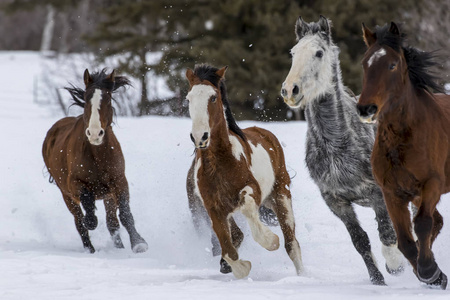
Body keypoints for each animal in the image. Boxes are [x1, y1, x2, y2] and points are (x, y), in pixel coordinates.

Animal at [42, 69, 148, 253]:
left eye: (108, 99)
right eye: (87, 99)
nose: (94, 133)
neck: (98, 155)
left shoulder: (119, 181)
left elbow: (125, 214)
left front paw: (138, 243)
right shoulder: (74, 184)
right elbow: (87, 207)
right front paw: (91, 220)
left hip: (108, 195)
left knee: (112, 223)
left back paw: (119, 248)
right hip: (66, 195)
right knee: (79, 222)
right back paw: (89, 249)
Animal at [185, 63, 304, 278]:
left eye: (213, 97)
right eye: (188, 98)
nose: (200, 136)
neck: (219, 165)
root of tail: (264, 132)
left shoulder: (252, 189)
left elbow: (248, 207)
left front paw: (270, 241)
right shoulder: (213, 208)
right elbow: (228, 248)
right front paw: (238, 266)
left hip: (281, 195)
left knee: (292, 245)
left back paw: (303, 277)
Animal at [282, 14, 404, 286]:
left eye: (319, 52)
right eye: (293, 52)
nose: (290, 90)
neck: (337, 145)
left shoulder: (379, 193)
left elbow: (387, 234)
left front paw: (395, 266)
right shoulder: (336, 201)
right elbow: (360, 241)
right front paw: (378, 280)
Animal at [356, 22, 448, 290]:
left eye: (392, 64)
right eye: (365, 63)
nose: (365, 108)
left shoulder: (432, 184)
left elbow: (422, 223)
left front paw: (429, 270)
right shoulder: (392, 193)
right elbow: (405, 240)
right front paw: (434, 274)